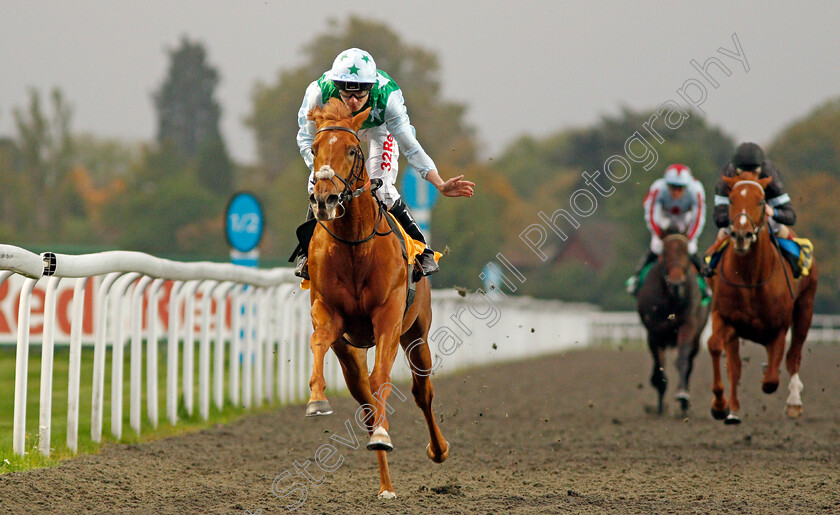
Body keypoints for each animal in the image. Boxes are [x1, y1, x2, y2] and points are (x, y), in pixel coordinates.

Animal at [302, 98, 446, 500]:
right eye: (315, 149)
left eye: (352, 150)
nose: (325, 199)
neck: (354, 245)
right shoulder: (328, 313)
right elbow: (318, 342)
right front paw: (316, 399)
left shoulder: (388, 318)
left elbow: (382, 376)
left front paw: (385, 434)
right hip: (350, 351)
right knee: (364, 399)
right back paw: (385, 483)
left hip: (416, 335)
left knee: (421, 391)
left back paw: (436, 449)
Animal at [636, 232, 708, 418]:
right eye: (665, 253)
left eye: (686, 253)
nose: (676, 283)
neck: (671, 300)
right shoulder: (654, 332)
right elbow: (659, 369)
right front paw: (660, 407)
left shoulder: (688, 325)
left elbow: (682, 360)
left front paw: (682, 394)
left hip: (697, 339)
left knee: (689, 364)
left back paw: (684, 405)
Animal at [704, 171, 816, 426]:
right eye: (731, 199)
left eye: (761, 201)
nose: (741, 235)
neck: (750, 279)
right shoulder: (724, 317)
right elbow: (717, 348)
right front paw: (720, 406)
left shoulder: (779, 326)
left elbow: (771, 380)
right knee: (735, 365)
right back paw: (733, 410)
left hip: (805, 309)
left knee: (793, 356)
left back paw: (794, 402)